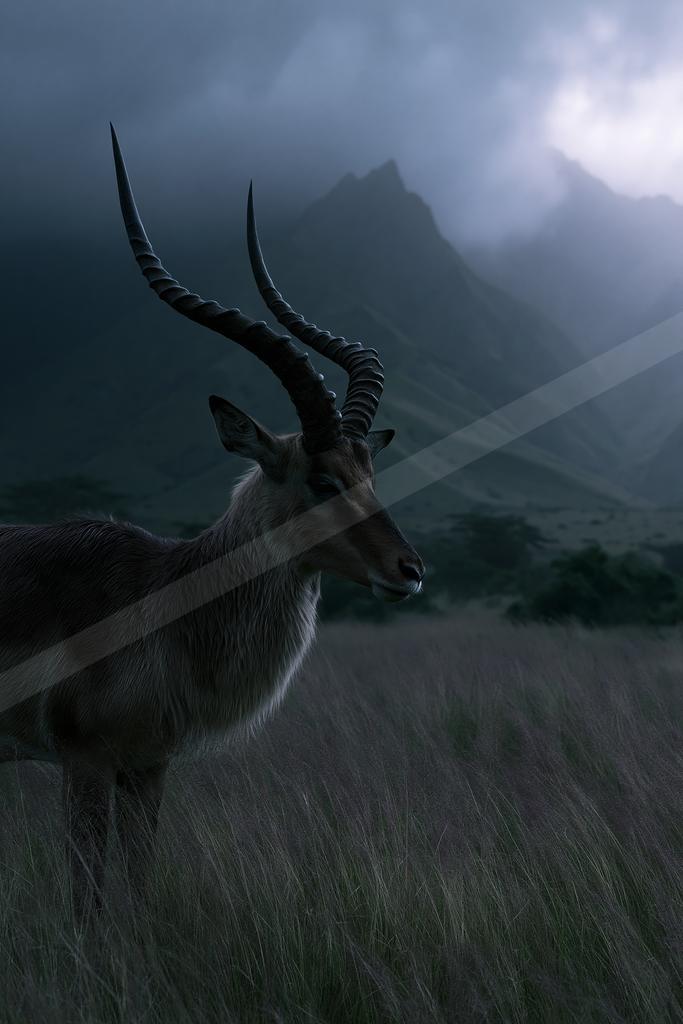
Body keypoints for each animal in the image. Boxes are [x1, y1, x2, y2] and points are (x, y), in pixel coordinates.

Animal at [0, 127, 424, 921]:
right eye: (322, 479)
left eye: (369, 474)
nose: (408, 571)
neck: (164, 599)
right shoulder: (84, 761)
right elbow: (86, 902)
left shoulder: (148, 766)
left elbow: (135, 891)